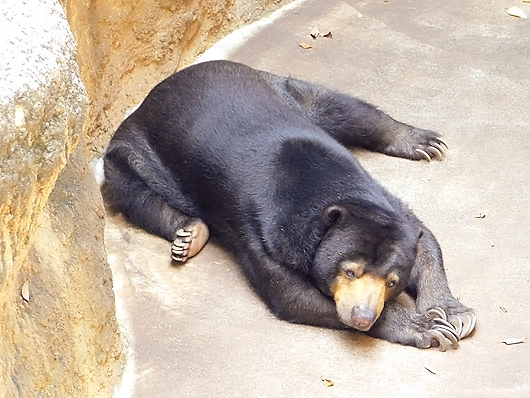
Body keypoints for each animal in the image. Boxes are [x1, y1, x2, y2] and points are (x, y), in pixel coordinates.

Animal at [103, 59, 474, 352]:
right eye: (349, 271)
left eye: (393, 281)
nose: (363, 317)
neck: (326, 185)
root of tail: (163, 85)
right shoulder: (262, 233)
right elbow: (292, 293)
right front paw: (427, 327)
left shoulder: (389, 206)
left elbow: (425, 241)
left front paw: (455, 314)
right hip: (133, 150)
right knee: (133, 191)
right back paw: (189, 234)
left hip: (285, 90)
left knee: (345, 109)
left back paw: (422, 141)